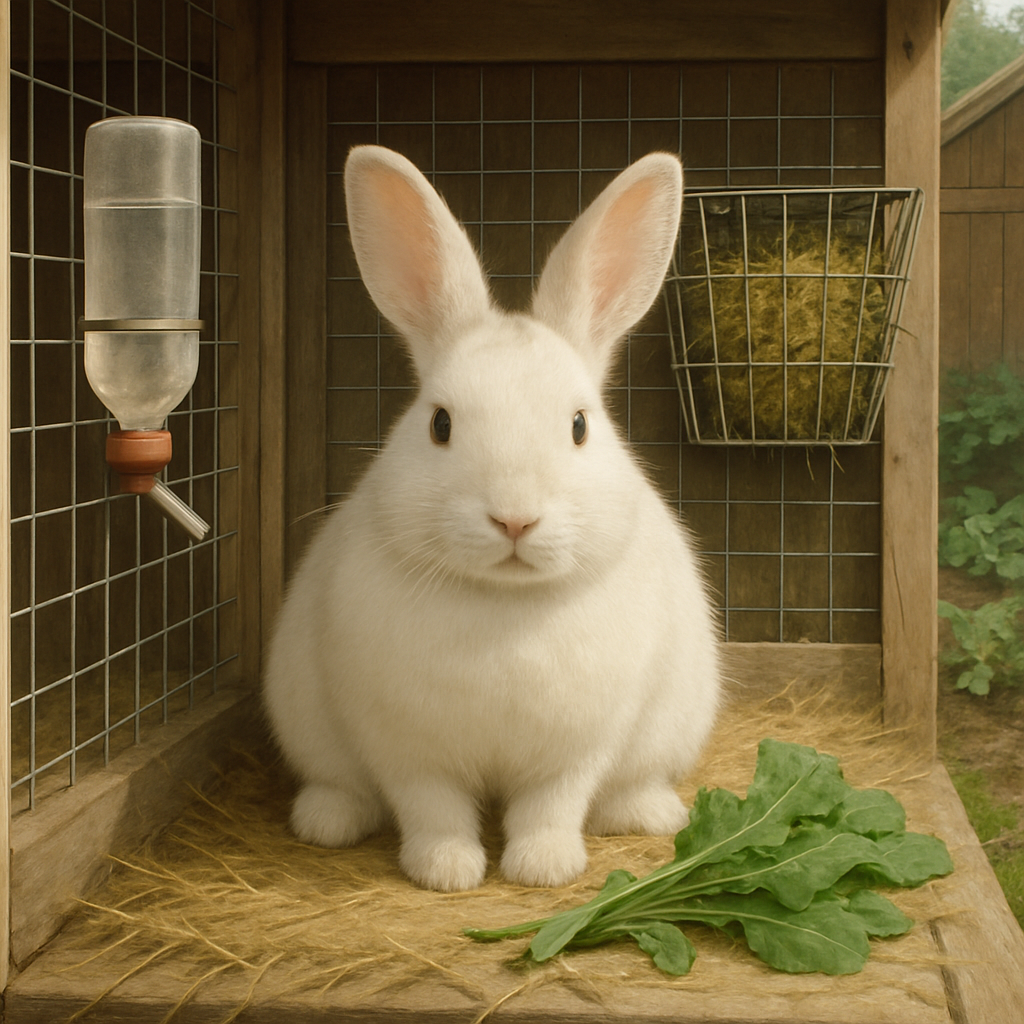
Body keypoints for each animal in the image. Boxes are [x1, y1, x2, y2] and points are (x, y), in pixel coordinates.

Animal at [264, 145, 721, 893]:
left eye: (579, 425)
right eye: (440, 424)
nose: (515, 520)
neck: (504, 604)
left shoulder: (576, 750)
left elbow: (551, 806)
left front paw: (544, 869)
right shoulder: (407, 750)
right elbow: (433, 811)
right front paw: (446, 872)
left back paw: (651, 814)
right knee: (344, 787)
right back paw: (326, 821)